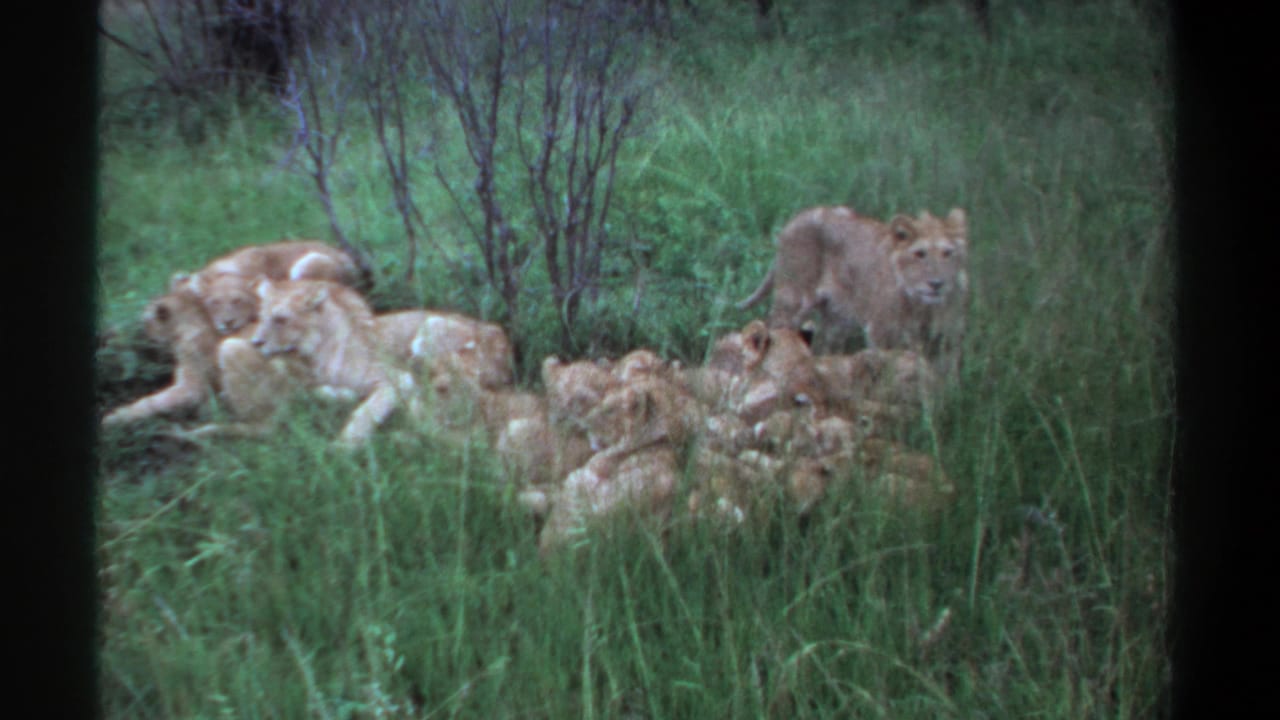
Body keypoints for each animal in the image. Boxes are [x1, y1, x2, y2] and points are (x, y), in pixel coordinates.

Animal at [738, 206, 969, 381]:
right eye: (920, 254)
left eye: (948, 253)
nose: (936, 284)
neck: (923, 307)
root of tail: (796, 219)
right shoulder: (881, 334)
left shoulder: (947, 341)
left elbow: (945, 385)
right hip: (792, 301)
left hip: (837, 321)